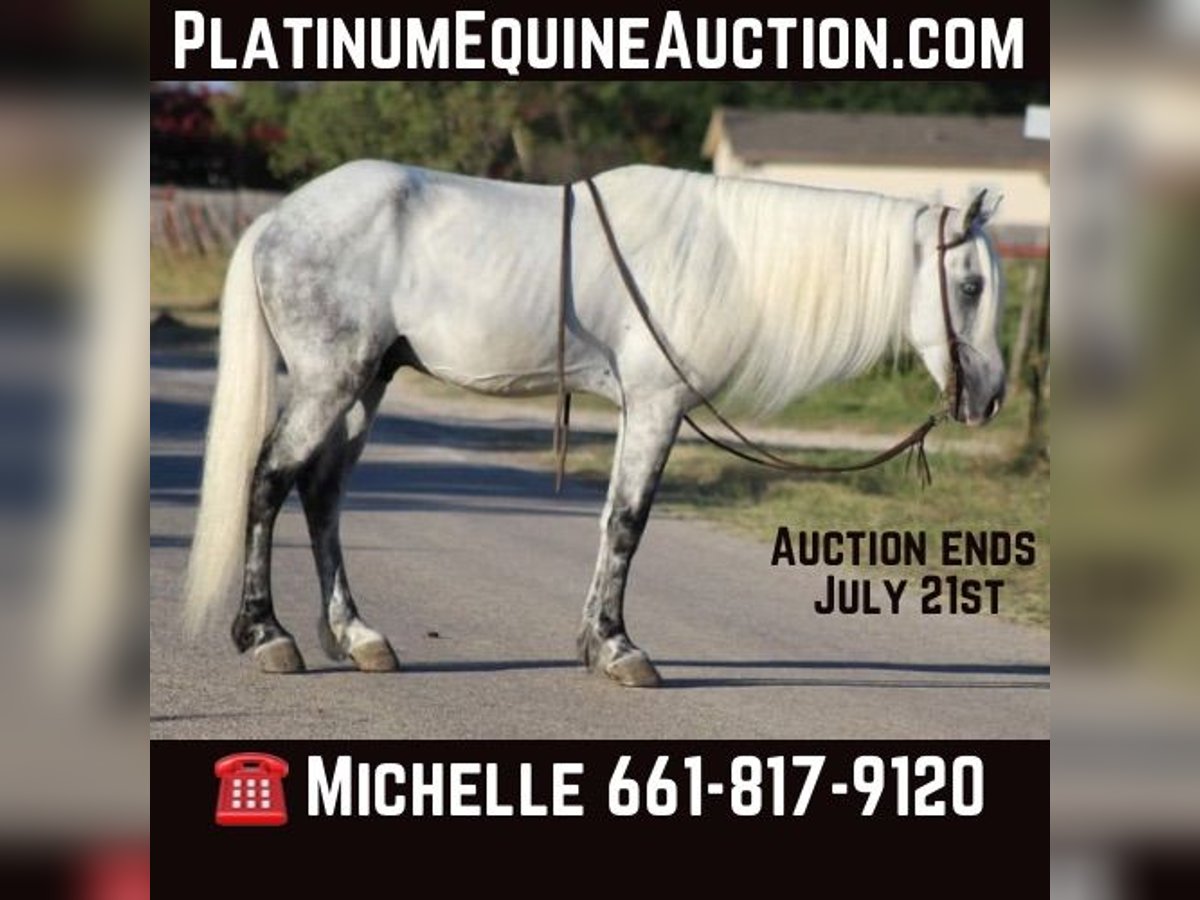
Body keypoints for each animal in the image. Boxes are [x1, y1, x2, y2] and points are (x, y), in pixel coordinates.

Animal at [182, 160, 1006, 688]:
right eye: (969, 285)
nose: (990, 396)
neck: (725, 258)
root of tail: (279, 219)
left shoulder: (644, 410)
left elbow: (611, 519)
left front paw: (594, 641)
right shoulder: (656, 406)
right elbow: (628, 525)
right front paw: (618, 650)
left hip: (366, 386)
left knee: (321, 494)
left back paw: (356, 638)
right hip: (330, 383)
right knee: (270, 480)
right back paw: (268, 636)